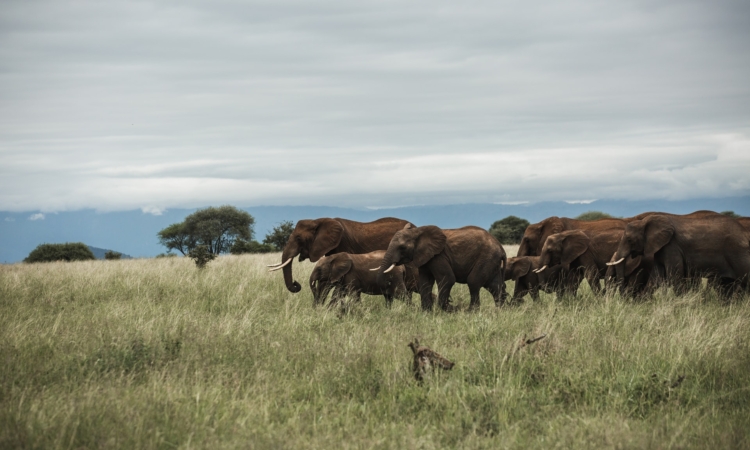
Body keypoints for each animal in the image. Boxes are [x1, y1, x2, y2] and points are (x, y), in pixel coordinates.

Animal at [377, 224, 507, 311]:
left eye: (402, 247)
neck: (418, 231)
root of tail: (501, 248)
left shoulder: (439, 256)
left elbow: (447, 278)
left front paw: (444, 310)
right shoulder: (426, 257)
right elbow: (425, 281)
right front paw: (426, 312)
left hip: (486, 257)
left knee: (473, 282)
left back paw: (471, 311)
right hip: (491, 261)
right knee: (494, 286)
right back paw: (499, 310)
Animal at [608, 213, 750, 296]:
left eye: (629, 240)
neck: (644, 222)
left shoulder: (672, 247)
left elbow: (674, 275)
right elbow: (657, 276)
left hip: (738, 252)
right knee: (728, 286)